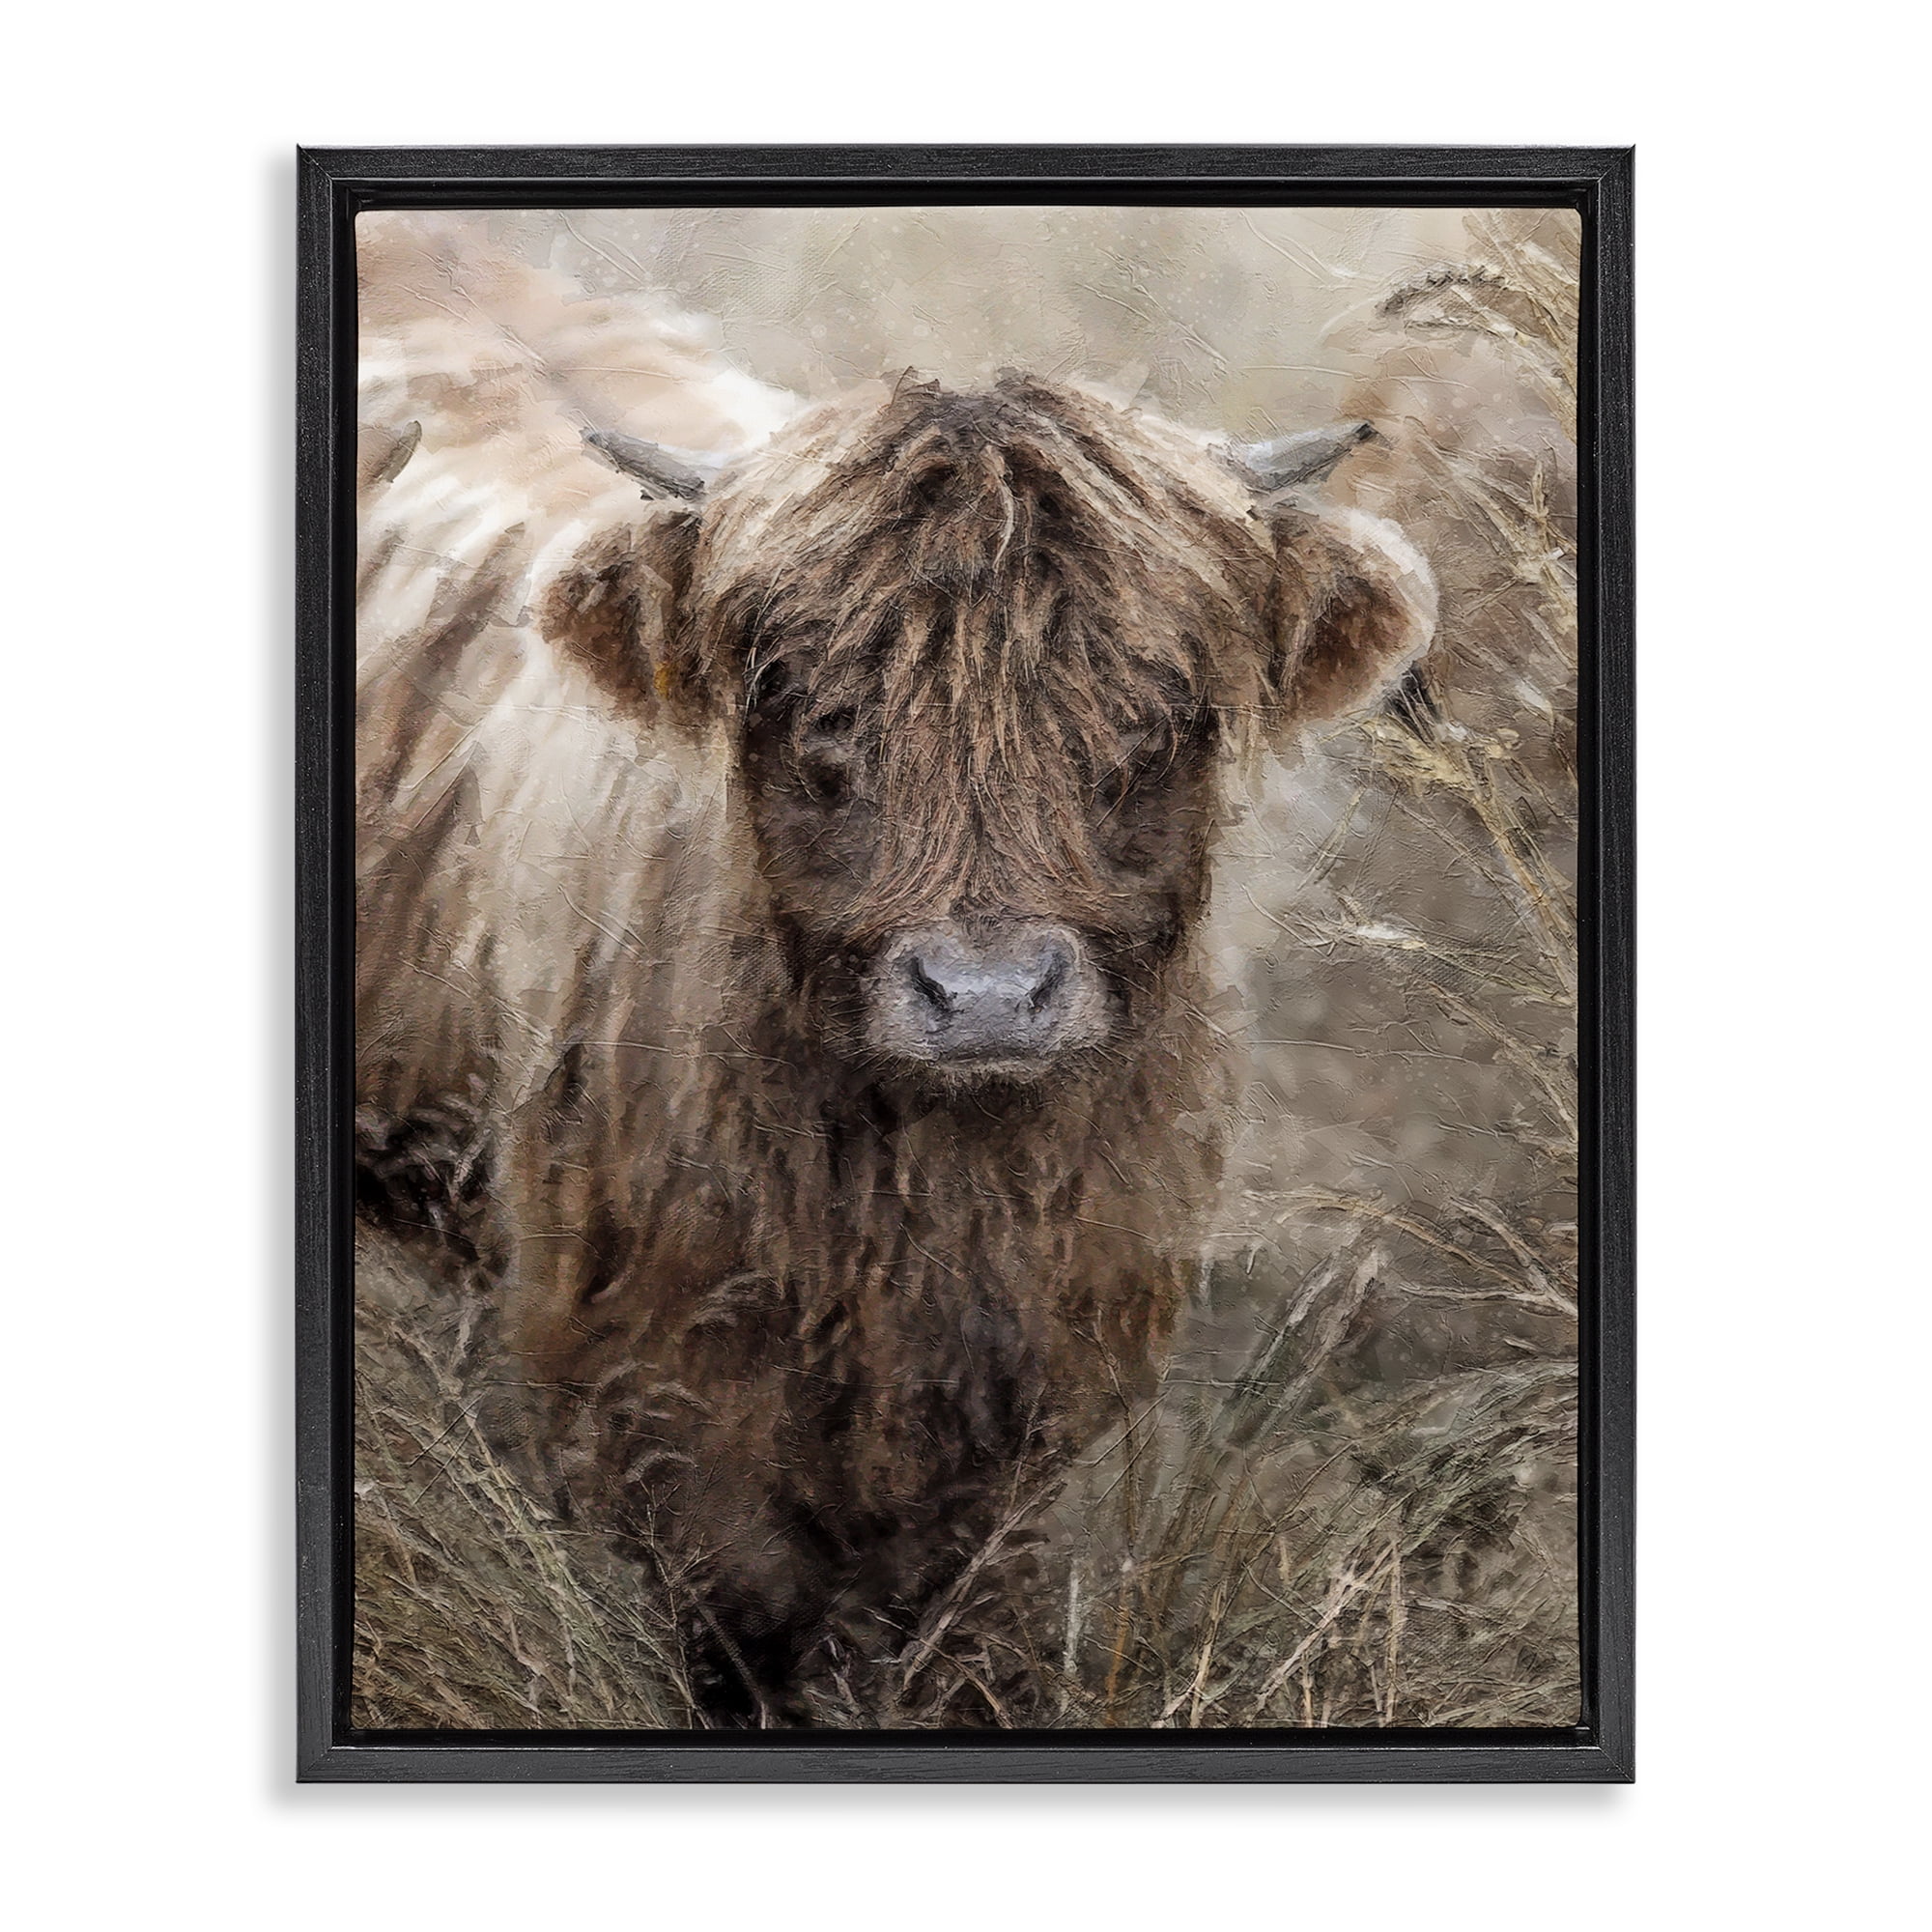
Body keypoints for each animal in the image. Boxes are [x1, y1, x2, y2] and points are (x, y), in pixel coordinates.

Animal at [357, 335, 1435, 1721]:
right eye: (819, 716)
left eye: (1150, 721)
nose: (985, 994)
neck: (925, 1195)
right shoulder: (643, 1370)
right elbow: (739, 1613)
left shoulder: (1034, 1390)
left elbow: (964, 1617)